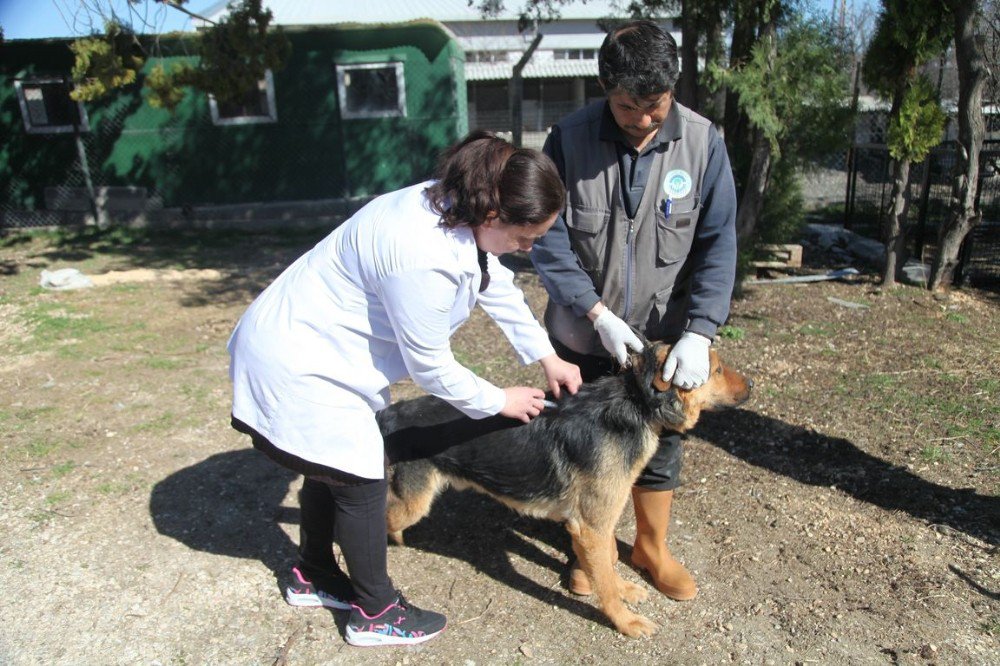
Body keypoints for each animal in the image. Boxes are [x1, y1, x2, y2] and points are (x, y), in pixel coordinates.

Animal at [378, 340, 752, 636]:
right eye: (717, 370)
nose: (751, 384)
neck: (636, 403)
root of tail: (389, 414)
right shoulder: (591, 527)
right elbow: (605, 583)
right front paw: (625, 621)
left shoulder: (597, 523)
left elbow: (609, 566)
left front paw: (624, 589)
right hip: (411, 503)